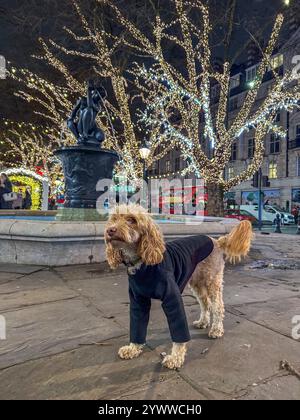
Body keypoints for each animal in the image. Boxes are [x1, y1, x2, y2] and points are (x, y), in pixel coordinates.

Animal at [104, 205, 252, 370]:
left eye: (131, 219)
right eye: (113, 219)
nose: (110, 230)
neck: (142, 263)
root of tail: (216, 241)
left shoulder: (172, 298)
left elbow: (179, 330)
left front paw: (175, 358)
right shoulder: (138, 301)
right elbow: (137, 325)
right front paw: (133, 348)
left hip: (212, 281)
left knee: (218, 306)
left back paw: (216, 329)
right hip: (197, 284)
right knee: (205, 303)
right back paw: (203, 322)